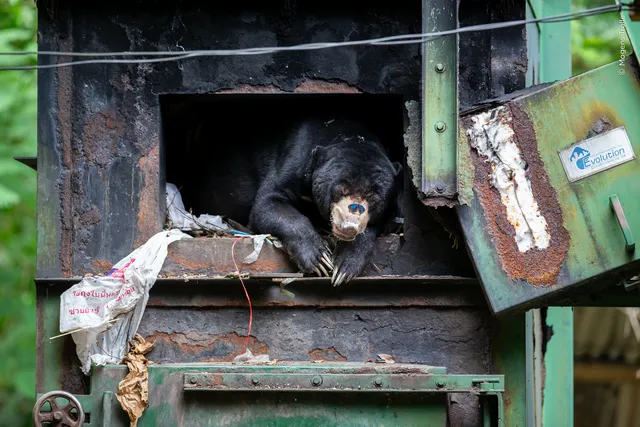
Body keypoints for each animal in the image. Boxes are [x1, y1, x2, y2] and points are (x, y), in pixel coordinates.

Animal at [193, 116, 402, 286]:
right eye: (341, 190)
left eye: (372, 197)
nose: (349, 226)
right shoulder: (295, 159)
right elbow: (268, 202)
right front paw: (319, 259)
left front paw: (344, 267)